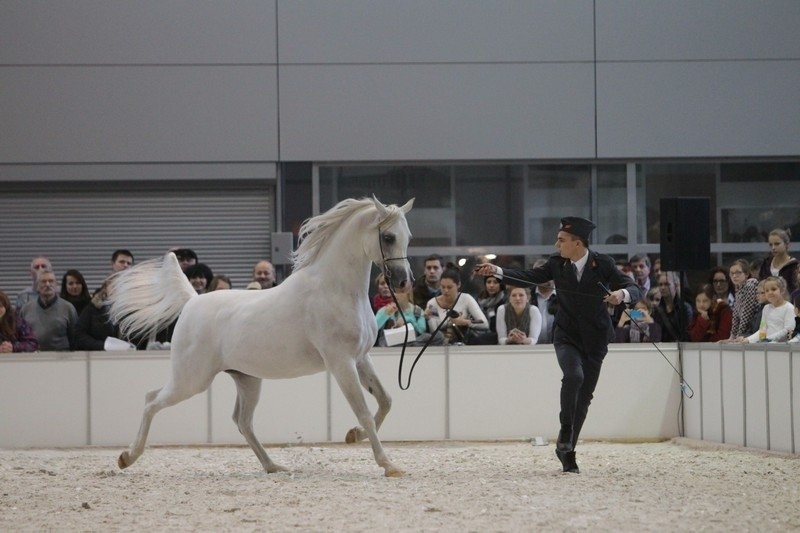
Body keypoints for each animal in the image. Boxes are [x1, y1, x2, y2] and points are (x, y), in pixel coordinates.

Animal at [107, 196, 416, 478]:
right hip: (191, 380)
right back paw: (127, 457)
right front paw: (389, 465)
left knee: (243, 422)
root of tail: (192, 301)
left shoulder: (361, 358)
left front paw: (353, 435)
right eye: (388, 237)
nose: (403, 281)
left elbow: (385, 401)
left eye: (408, 237)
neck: (335, 290)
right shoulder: (341, 363)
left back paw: (273, 466)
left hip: (247, 380)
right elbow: (364, 412)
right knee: (151, 400)